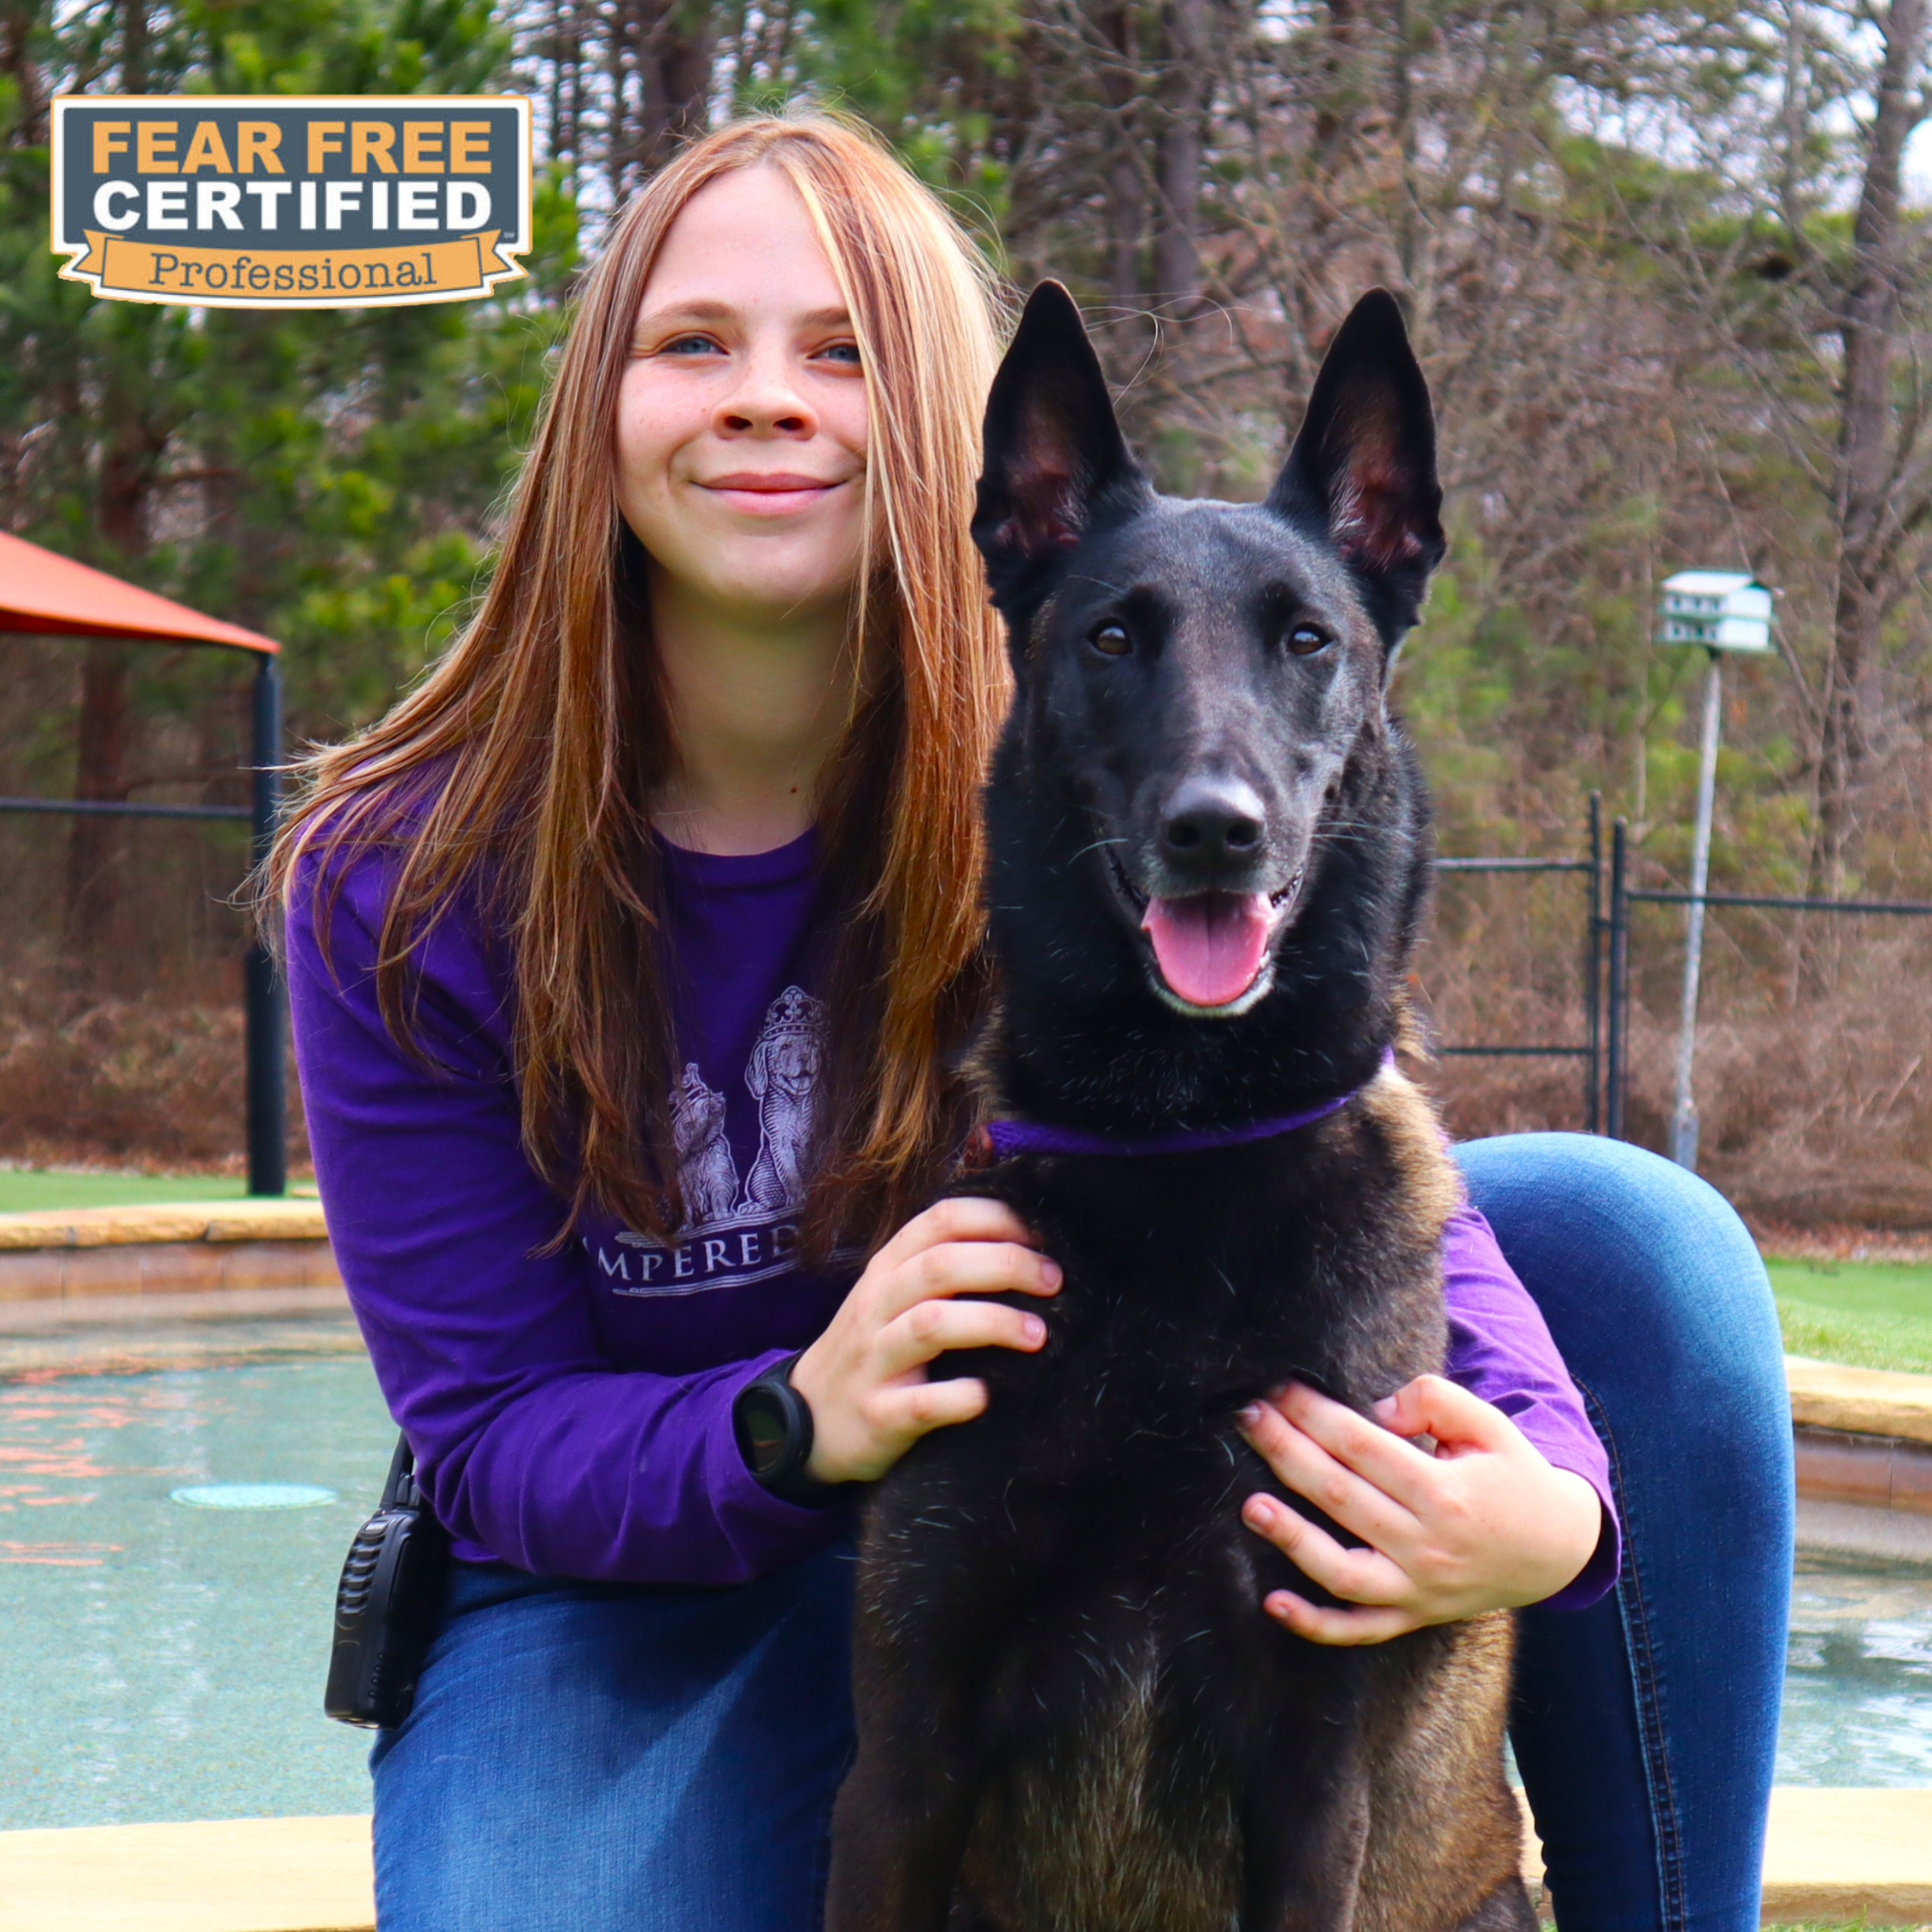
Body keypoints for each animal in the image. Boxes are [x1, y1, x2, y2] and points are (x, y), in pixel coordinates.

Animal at [822, 285, 1529, 1932]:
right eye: (1112, 635)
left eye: (1307, 639)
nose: (1218, 831)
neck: (1180, 1140)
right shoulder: (904, 1756)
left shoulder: (1310, 1775)